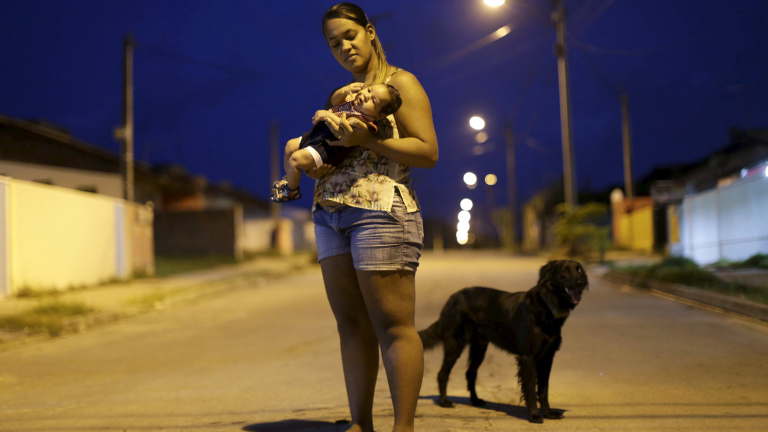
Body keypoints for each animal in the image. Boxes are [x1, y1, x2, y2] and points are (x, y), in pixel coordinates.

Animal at [419, 260, 588, 423]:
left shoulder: (547, 357)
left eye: (579, 270)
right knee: (443, 373)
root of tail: (453, 298)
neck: (547, 305)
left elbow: (543, 389)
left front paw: (548, 413)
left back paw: (475, 400)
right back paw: (444, 402)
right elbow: (531, 389)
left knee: (470, 373)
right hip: (455, 344)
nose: (580, 282)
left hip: (479, 347)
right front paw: (534, 416)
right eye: (564, 270)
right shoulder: (527, 357)